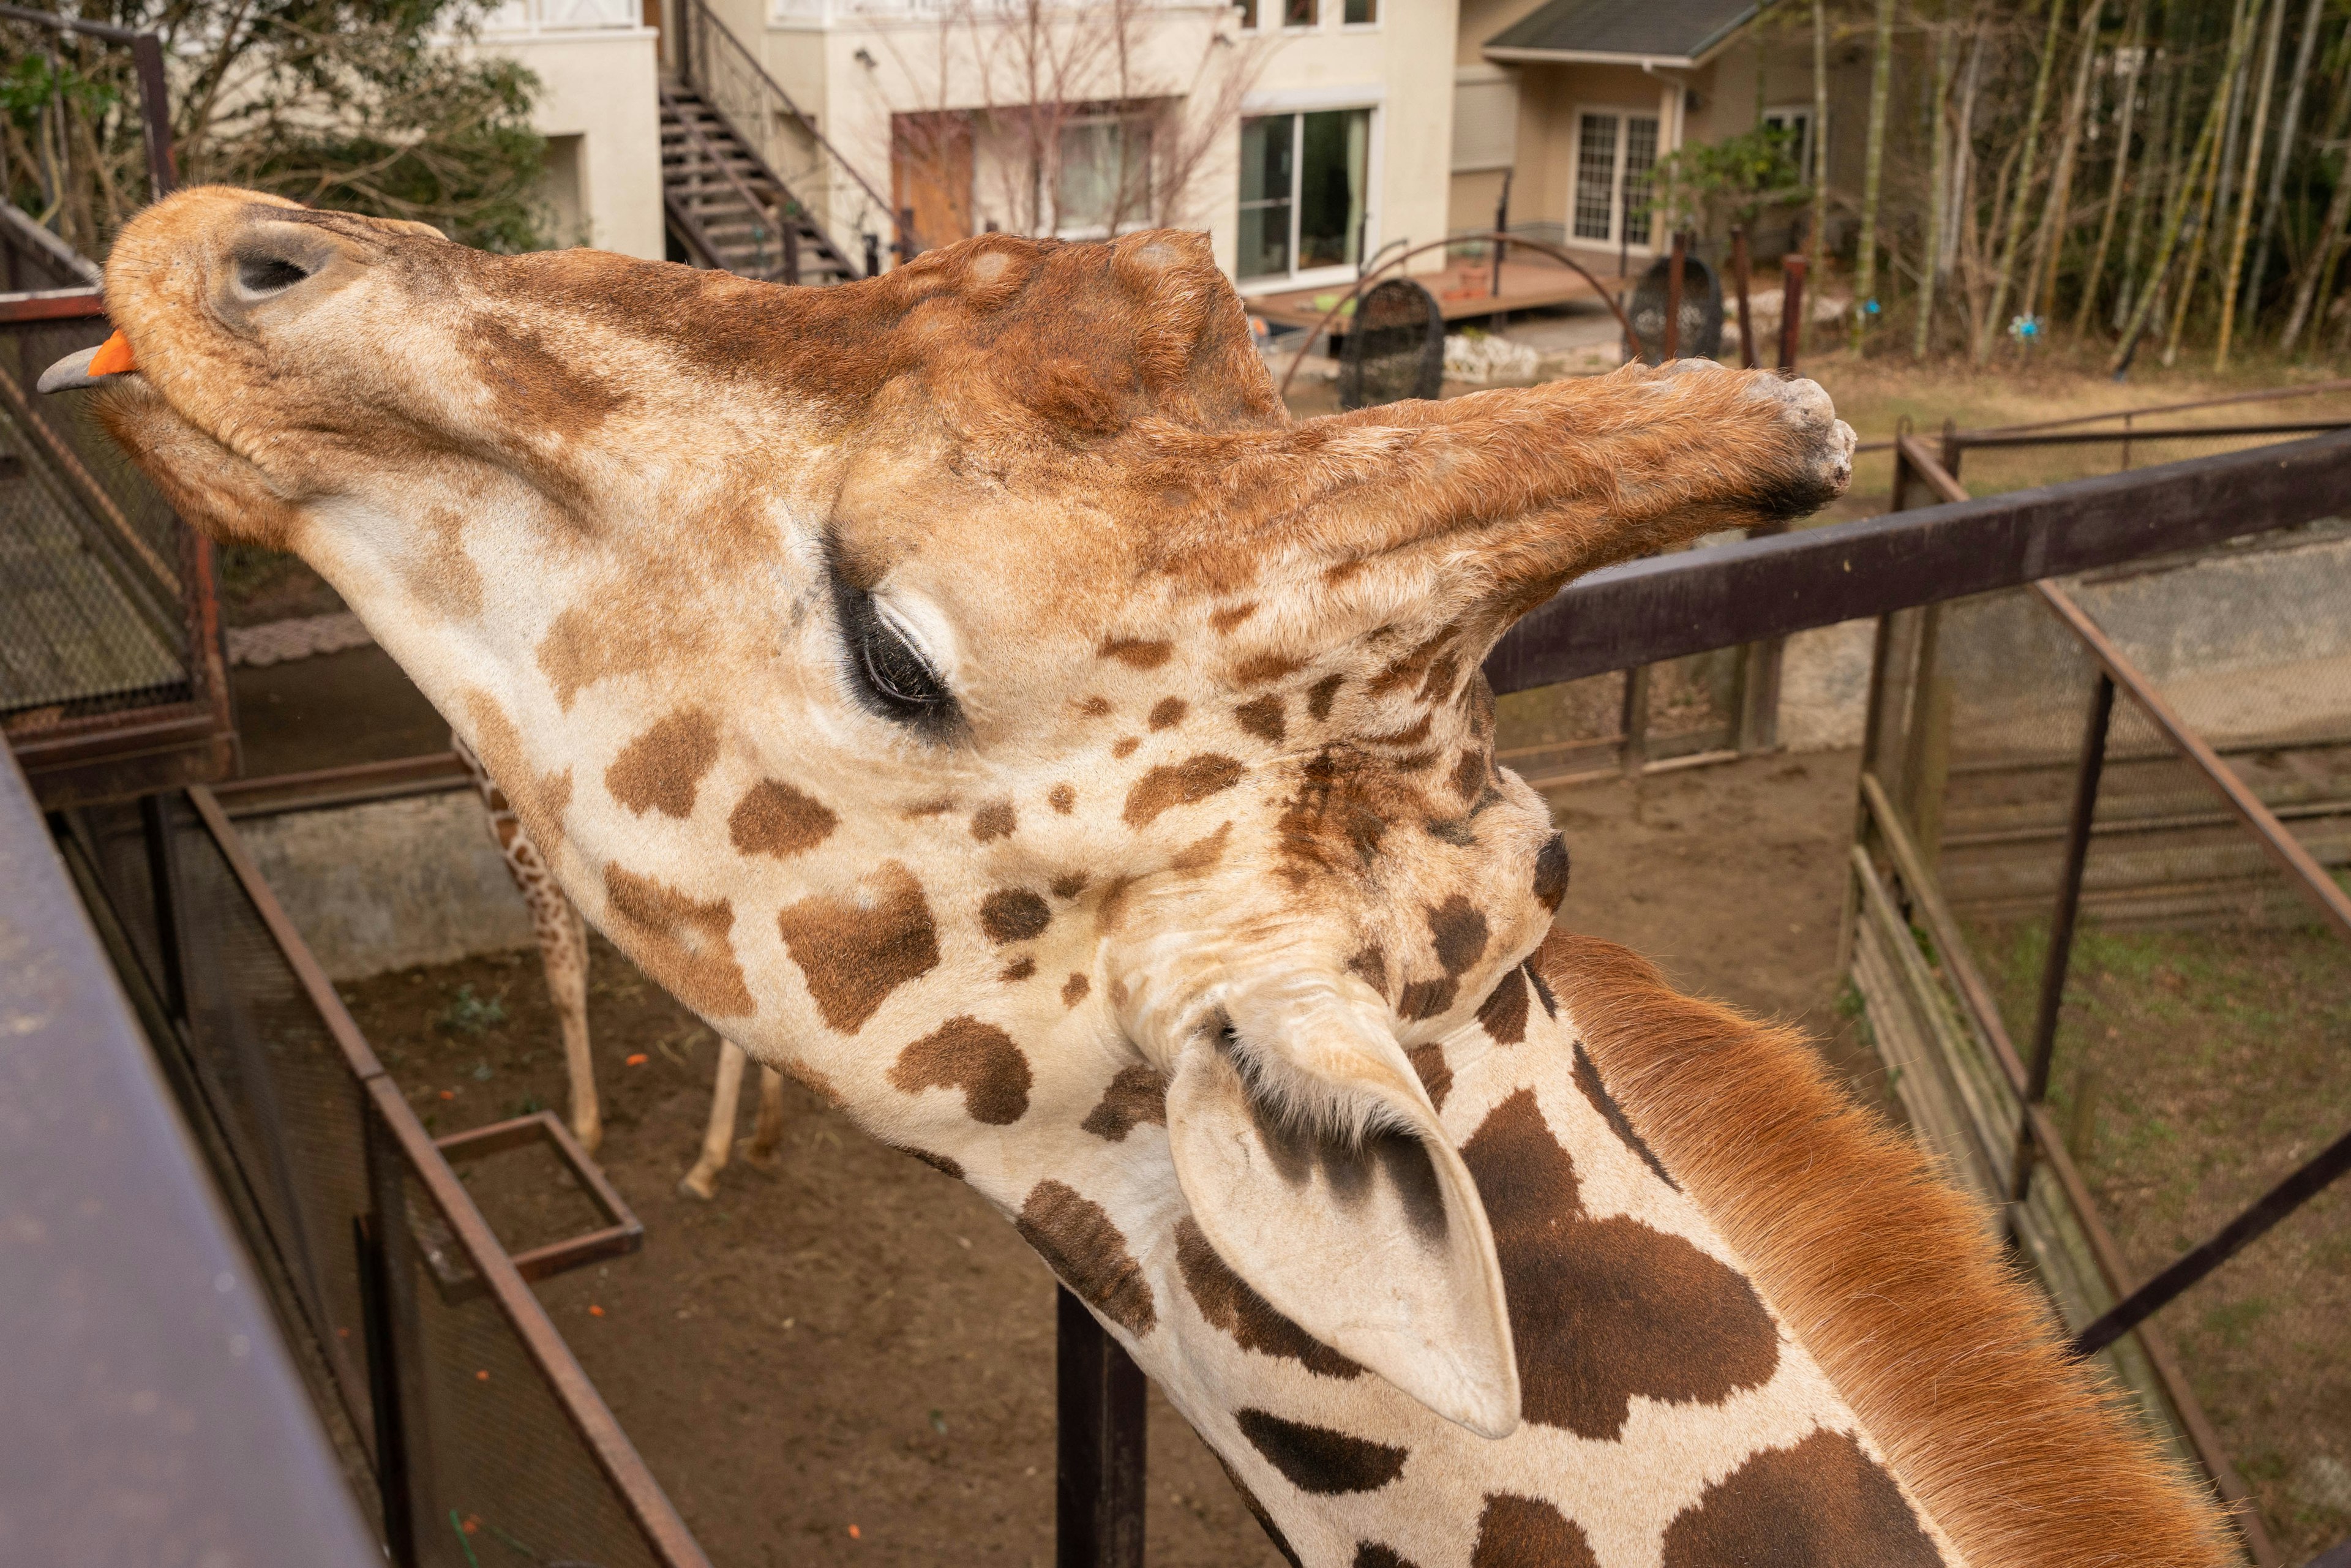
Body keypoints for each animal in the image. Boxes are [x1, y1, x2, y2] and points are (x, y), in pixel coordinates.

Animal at [454, 729, 785, 1194]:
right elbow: (579, 957)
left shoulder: (510, 809)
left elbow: (564, 978)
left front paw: (583, 1132)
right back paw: (760, 1140)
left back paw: (709, 1162)